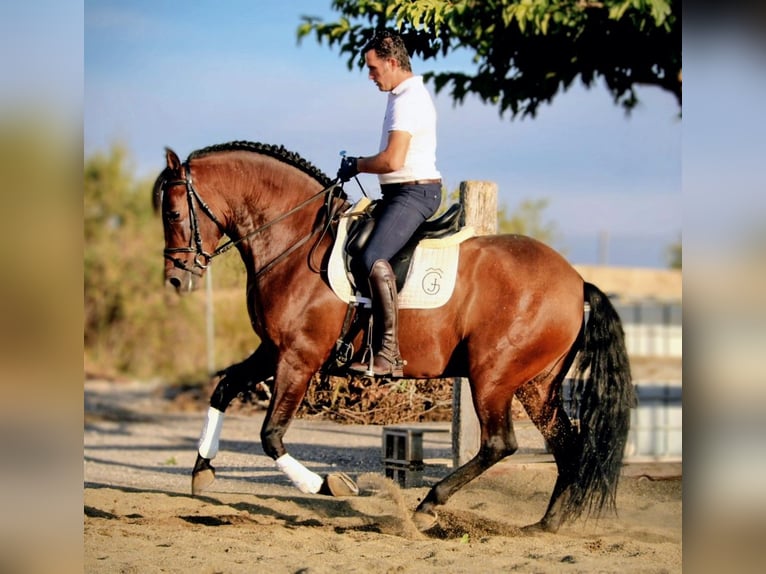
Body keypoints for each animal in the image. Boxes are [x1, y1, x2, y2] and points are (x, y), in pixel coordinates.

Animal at [152, 140, 635, 533]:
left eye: (173, 213)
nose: (176, 279)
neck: (294, 240)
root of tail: (576, 282)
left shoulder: (298, 358)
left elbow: (270, 434)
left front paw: (329, 485)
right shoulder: (272, 350)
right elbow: (223, 387)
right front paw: (202, 469)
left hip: (494, 376)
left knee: (501, 443)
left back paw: (428, 506)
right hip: (536, 385)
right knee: (567, 447)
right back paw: (547, 524)